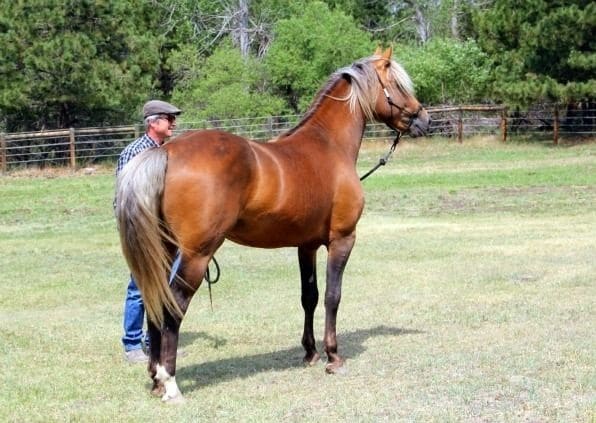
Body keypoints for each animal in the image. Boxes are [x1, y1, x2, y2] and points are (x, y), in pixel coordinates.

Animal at [116, 47, 430, 404]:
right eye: (398, 84)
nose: (424, 119)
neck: (329, 145)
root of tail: (166, 151)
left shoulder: (306, 245)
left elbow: (310, 296)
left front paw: (310, 352)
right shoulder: (342, 240)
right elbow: (333, 296)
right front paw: (333, 356)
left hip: (165, 250)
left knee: (154, 303)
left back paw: (155, 378)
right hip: (196, 255)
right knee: (173, 308)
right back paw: (169, 382)